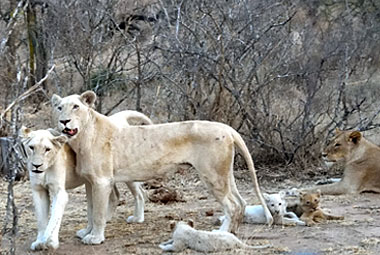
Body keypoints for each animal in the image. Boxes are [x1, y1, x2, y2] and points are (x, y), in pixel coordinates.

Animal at [52, 91, 274, 245]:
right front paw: (86, 232)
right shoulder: (90, 182)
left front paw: (95, 238)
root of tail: (226, 128)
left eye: (76, 107)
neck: (82, 137)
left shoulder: (101, 181)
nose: (64, 121)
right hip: (225, 174)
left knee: (232, 205)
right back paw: (232, 231)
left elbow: (98, 213)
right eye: (59, 108)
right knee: (241, 202)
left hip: (212, 175)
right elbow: (90, 210)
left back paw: (222, 233)